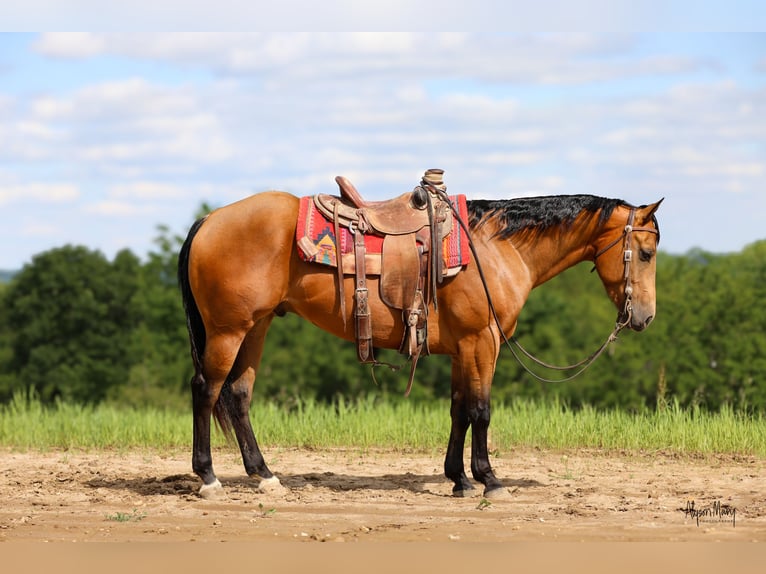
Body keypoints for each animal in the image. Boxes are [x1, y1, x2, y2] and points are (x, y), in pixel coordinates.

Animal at [177, 178, 664, 502]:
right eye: (645, 252)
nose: (644, 317)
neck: (494, 250)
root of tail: (209, 219)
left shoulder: (462, 348)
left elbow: (458, 410)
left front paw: (459, 479)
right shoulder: (481, 342)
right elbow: (481, 411)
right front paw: (489, 481)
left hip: (256, 328)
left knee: (238, 395)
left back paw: (264, 475)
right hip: (228, 331)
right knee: (206, 390)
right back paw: (208, 478)